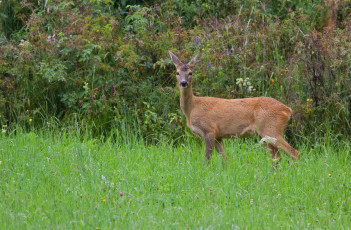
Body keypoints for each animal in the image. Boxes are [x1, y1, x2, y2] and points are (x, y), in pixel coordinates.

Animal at [169, 51, 298, 164]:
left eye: (191, 73)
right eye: (177, 72)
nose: (183, 83)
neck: (192, 109)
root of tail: (287, 110)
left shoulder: (209, 129)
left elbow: (207, 158)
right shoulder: (218, 135)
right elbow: (225, 159)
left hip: (272, 129)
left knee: (294, 153)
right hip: (265, 133)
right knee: (276, 156)